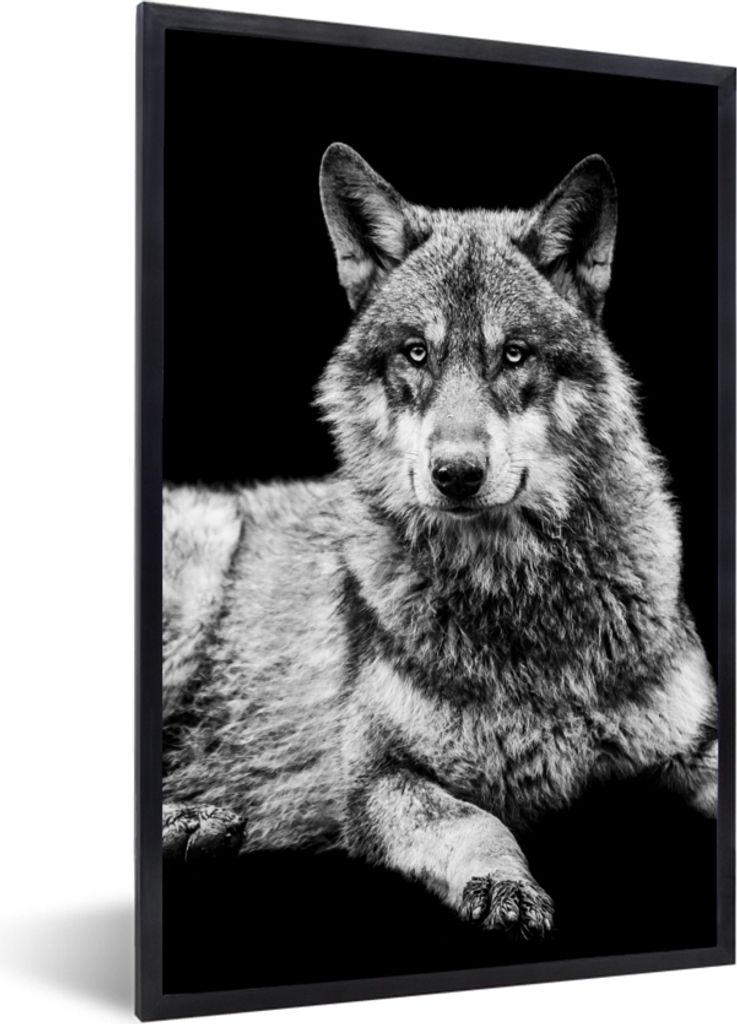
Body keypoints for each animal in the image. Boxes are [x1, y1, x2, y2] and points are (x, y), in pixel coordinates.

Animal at [161, 144, 717, 937]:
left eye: (513, 355)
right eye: (417, 353)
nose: (455, 474)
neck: (517, 599)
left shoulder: (696, 745)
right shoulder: (377, 778)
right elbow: (477, 821)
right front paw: (503, 884)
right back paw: (193, 824)